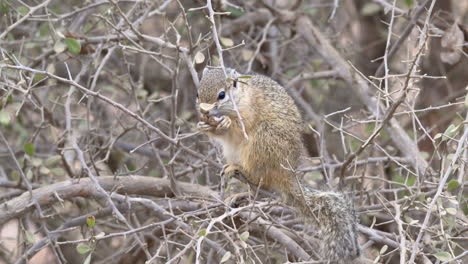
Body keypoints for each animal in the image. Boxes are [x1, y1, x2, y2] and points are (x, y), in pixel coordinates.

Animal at [196, 67, 360, 262]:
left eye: (221, 95)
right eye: (198, 93)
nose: (204, 112)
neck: (242, 97)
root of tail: (288, 173)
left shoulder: (250, 111)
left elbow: (240, 124)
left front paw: (226, 123)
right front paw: (204, 126)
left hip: (263, 141)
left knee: (261, 180)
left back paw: (238, 170)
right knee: (258, 190)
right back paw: (240, 194)